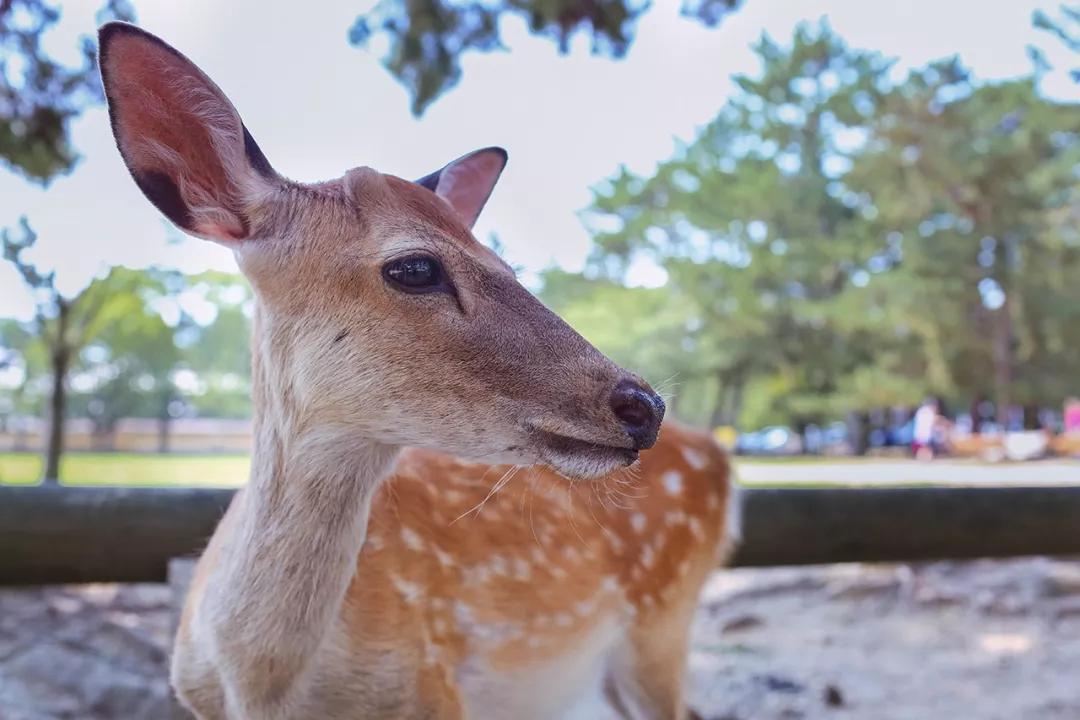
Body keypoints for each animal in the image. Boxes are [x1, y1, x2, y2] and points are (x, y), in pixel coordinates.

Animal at [99, 22, 734, 720]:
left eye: (508, 267)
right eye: (415, 267)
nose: (644, 406)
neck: (262, 690)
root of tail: (722, 459)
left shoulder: (437, 694)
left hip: (661, 626)